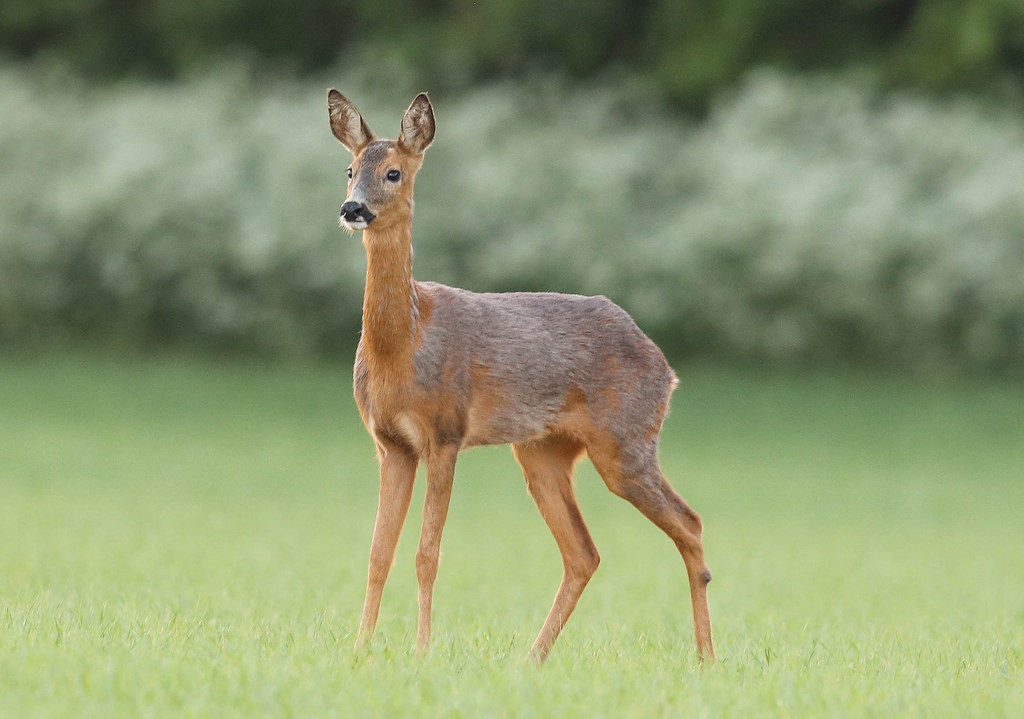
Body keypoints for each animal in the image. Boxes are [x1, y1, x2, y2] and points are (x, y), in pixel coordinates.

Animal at [325, 90, 712, 663]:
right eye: (350, 170)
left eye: (394, 172)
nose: (353, 209)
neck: (404, 346)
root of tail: (666, 368)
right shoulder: (390, 443)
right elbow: (378, 552)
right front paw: (359, 651)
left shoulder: (445, 432)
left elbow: (427, 554)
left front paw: (422, 652)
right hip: (542, 451)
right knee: (584, 552)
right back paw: (531, 659)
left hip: (627, 441)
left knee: (689, 522)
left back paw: (707, 659)